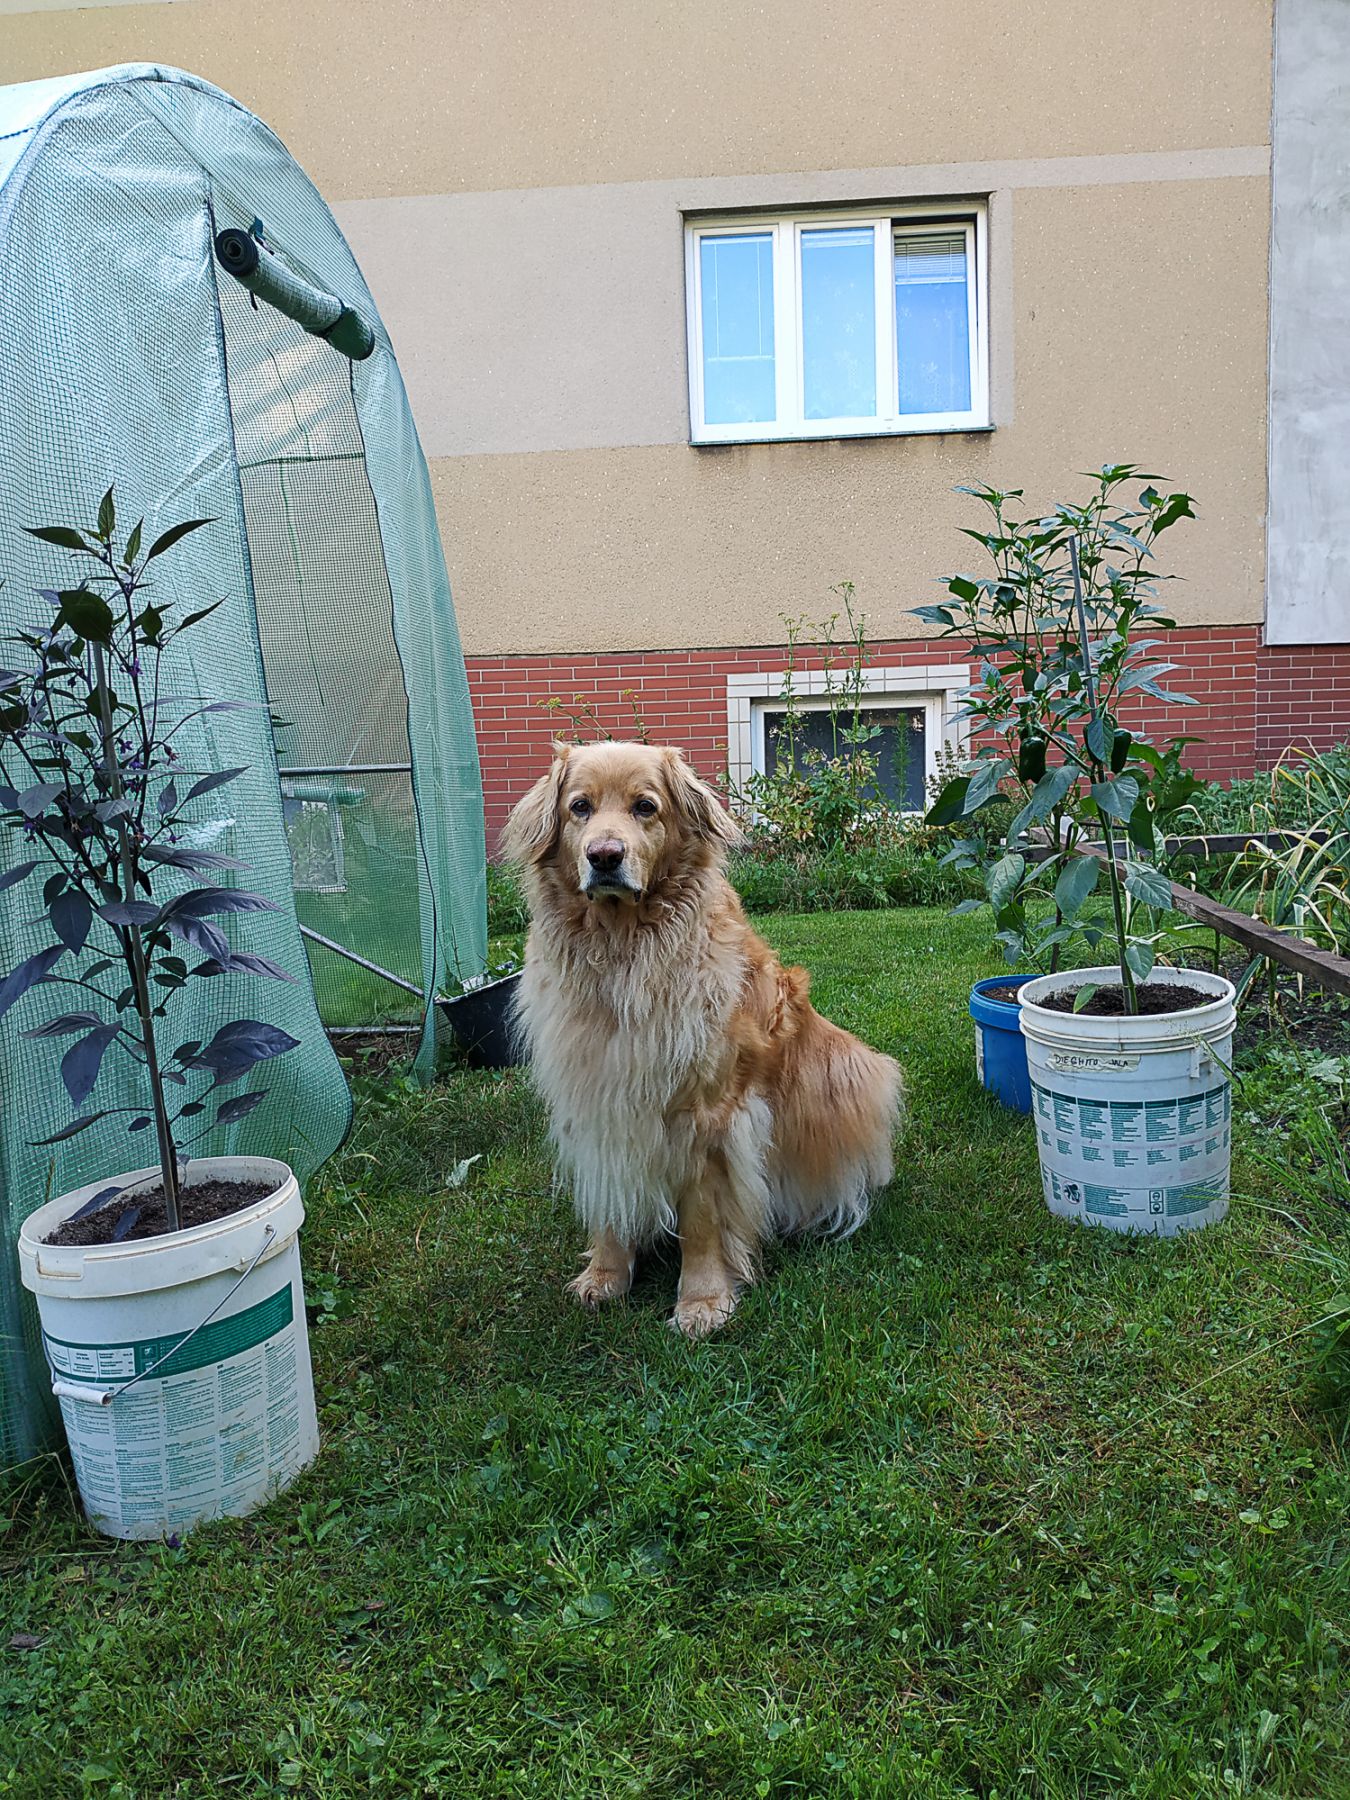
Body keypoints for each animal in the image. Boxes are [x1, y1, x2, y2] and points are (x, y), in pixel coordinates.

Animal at [501, 741, 903, 1338]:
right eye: (580, 808)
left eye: (645, 806)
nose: (604, 856)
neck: (623, 955)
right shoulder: (599, 1104)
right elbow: (612, 1196)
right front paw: (606, 1273)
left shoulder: (710, 1118)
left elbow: (704, 1219)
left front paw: (703, 1300)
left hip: (853, 1072)